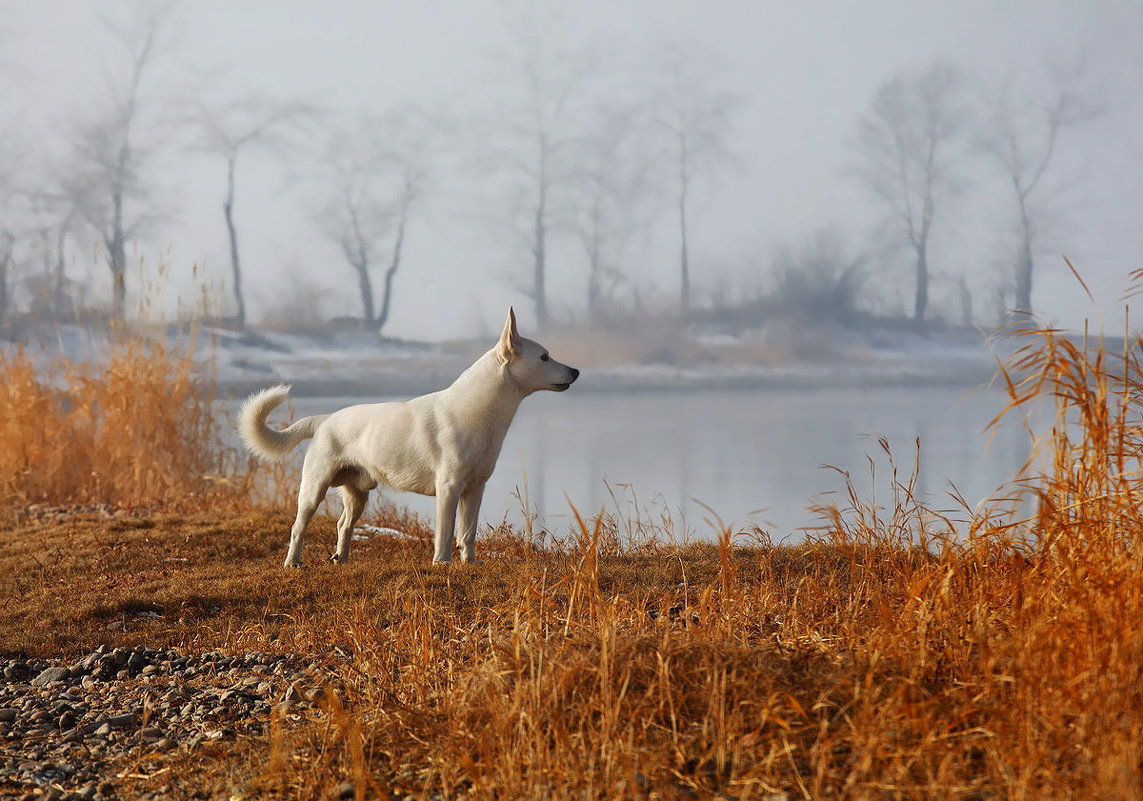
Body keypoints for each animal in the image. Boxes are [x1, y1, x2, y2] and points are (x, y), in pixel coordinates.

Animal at [235, 306, 576, 562]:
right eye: (544, 357)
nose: (576, 372)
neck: (482, 412)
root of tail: (325, 419)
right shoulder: (449, 488)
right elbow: (445, 533)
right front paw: (443, 564)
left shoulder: (475, 489)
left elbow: (467, 533)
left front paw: (470, 563)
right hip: (313, 488)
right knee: (298, 527)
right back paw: (293, 562)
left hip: (357, 494)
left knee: (343, 525)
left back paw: (341, 558)